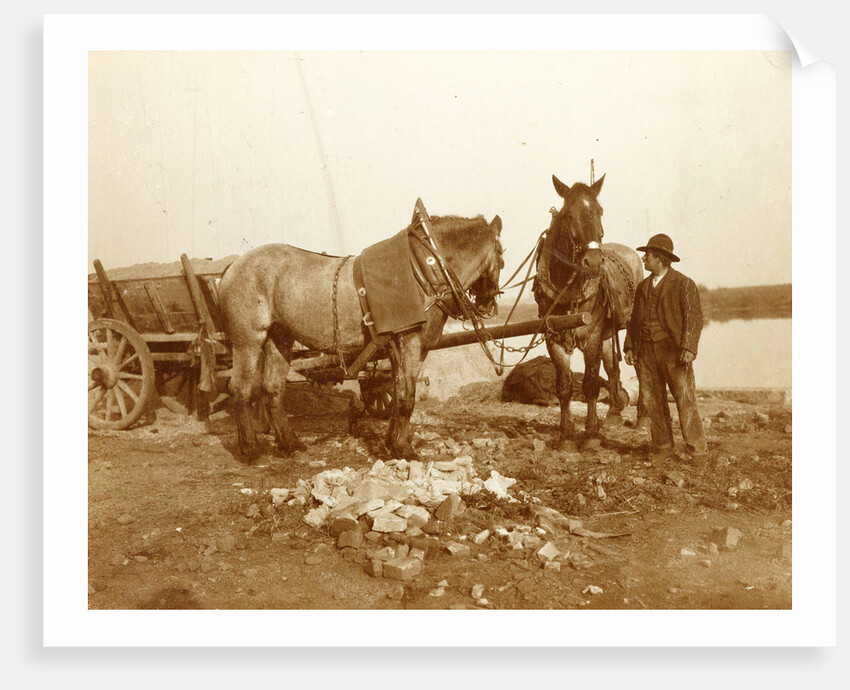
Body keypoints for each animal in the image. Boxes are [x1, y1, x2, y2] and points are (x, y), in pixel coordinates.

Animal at [218, 212, 504, 463]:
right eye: (502, 257)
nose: (489, 303)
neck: (423, 269)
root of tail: (231, 267)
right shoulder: (408, 342)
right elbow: (407, 398)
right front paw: (404, 449)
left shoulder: (406, 347)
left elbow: (399, 392)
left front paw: (392, 444)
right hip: (248, 341)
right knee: (241, 390)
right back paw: (250, 449)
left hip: (280, 339)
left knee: (273, 389)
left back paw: (290, 444)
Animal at [532, 174, 643, 450]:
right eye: (568, 215)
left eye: (599, 211)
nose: (593, 262)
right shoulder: (553, 337)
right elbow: (564, 386)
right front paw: (566, 434)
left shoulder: (592, 334)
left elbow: (591, 383)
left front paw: (591, 433)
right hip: (607, 333)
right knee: (613, 368)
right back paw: (614, 414)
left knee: (639, 368)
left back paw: (642, 418)